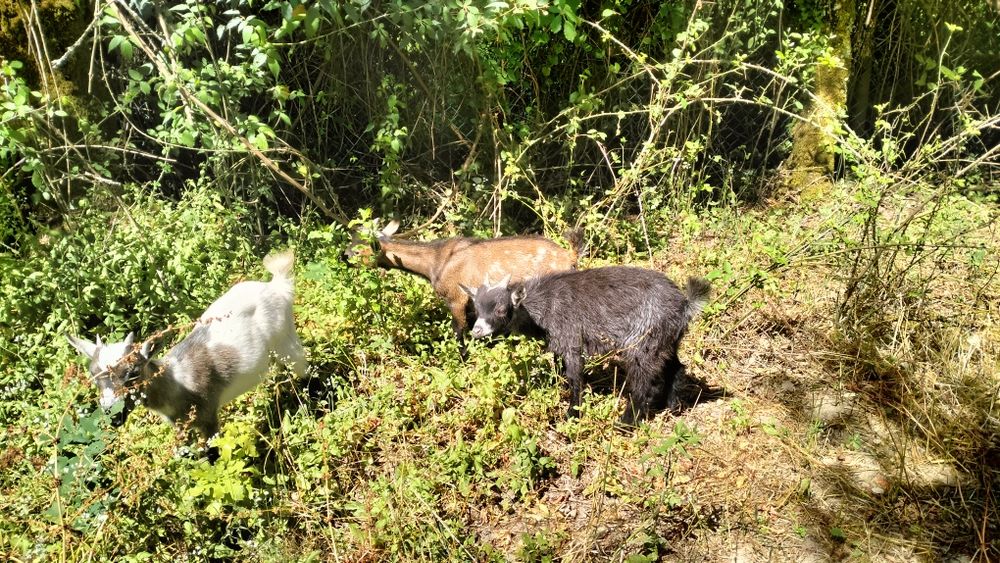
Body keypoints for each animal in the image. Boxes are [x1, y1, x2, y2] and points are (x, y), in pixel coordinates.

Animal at [67, 249, 307, 440]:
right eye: (93, 377)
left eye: (133, 372)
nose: (112, 414)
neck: (177, 380)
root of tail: (276, 286)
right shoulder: (181, 427)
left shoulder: (208, 416)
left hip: (285, 339)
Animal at [348, 220, 585, 358]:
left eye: (359, 250)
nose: (344, 255)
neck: (436, 262)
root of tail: (569, 257)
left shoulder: (456, 298)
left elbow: (459, 334)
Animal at [462, 267, 710, 425]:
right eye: (476, 308)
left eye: (501, 309)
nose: (476, 331)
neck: (542, 305)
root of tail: (685, 304)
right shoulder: (559, 346)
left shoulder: (572, 342)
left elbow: (574, 377)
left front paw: (572, 414)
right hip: (667, 342)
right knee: (676, 367)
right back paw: (672, 406)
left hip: (642, 345)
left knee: (643, 382)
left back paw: (626, 423)